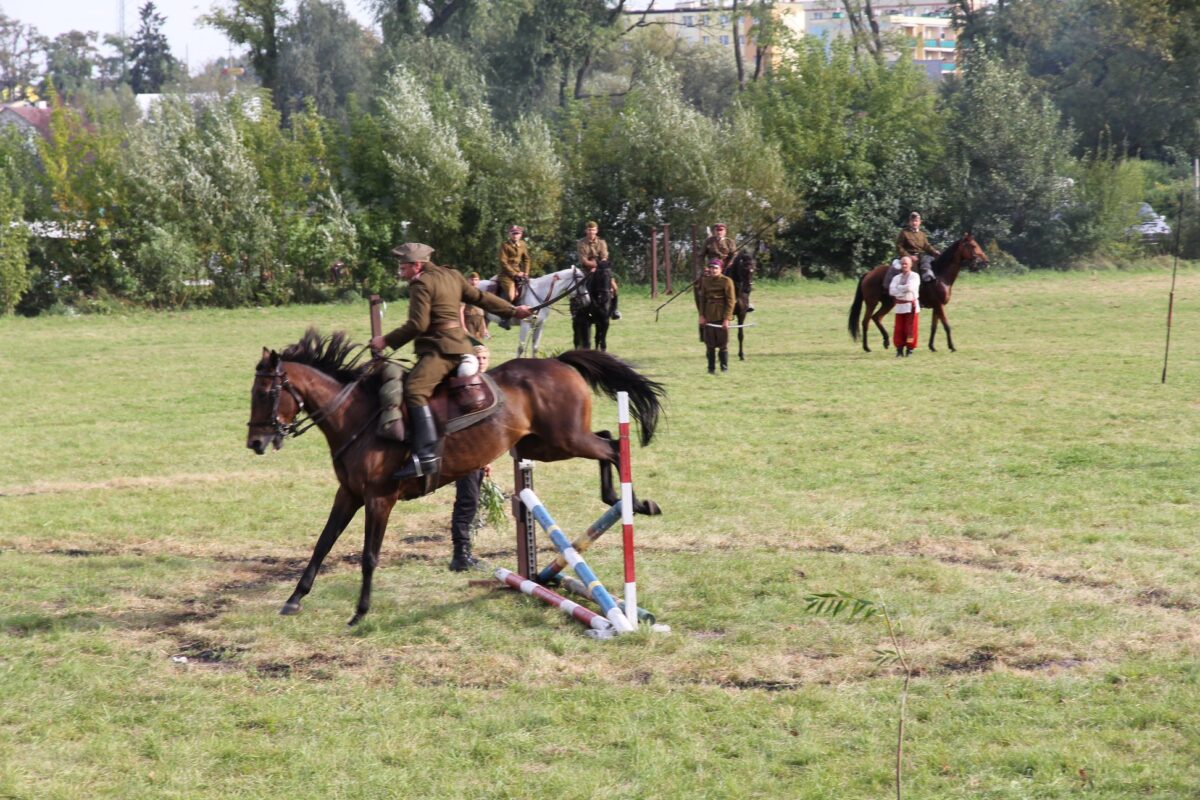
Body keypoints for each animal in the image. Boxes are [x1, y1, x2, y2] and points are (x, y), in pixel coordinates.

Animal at [246, 331, 667, 623]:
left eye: (265, 393)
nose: (255, 442)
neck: (355, 419)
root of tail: (558, 362)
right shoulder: (348, 493)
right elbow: (322, 544)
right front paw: (294, 599)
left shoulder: (379, 499)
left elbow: (369, 555)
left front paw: (360, 611)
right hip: (545, 445)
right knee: (608, 438)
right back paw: (622, 500)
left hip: (564, 439)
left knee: (612, 447)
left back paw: (633, 501)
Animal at [849, 232, 988, 355]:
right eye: (973, 245)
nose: (986, 261)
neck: (939, 275)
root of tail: (869, 274)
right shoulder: (939, 306)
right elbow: (946, 325)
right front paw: (952, 346)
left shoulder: (936, 307)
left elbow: (934, 326)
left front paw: (932, 346)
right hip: (871, 303)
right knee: (865, 321)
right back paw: (867, 347)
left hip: (888, 303)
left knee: (877, 318)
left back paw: (886, 341)